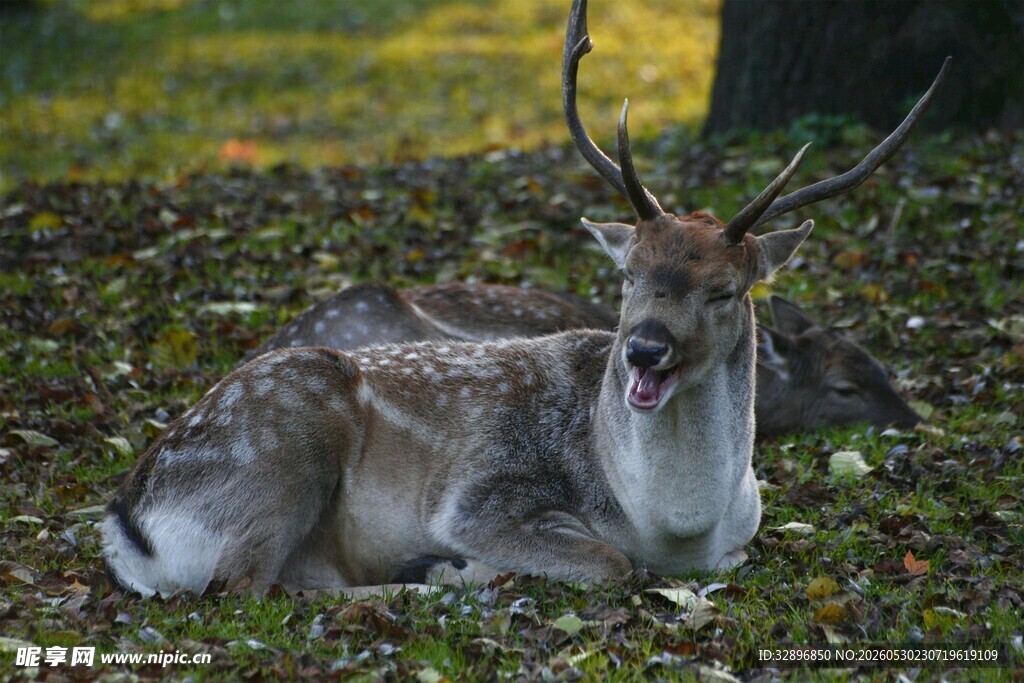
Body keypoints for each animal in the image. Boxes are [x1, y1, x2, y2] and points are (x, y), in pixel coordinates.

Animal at [101, 0, 948, 596]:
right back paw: (429, 576)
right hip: (284, 442)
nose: (644, 348)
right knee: (244, 585)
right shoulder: (481, 498)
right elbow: (609, 561)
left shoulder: (738, 543)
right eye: (630, 272)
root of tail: (125, 523)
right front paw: (456, 563)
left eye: (725, 289)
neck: (675, 528)